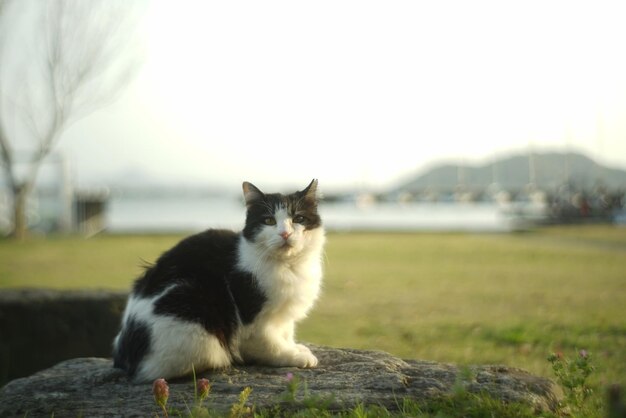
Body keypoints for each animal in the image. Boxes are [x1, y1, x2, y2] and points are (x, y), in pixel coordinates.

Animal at [112, 180, 324, 382]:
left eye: (299, 219)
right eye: (269, 221)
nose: (285, 234)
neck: (288, 266)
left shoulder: (284, 315)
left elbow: (286, 333)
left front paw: (295, 348)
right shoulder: (254, 317)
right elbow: (270, 344)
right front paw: (293, 357)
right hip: (192, 307)